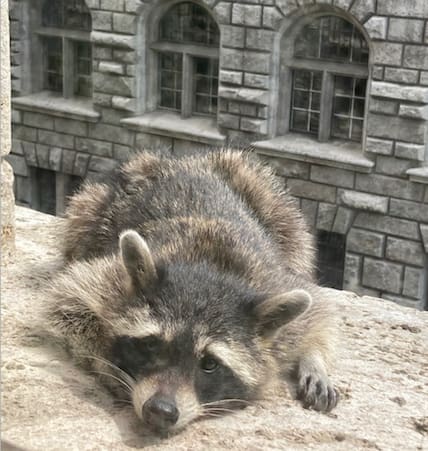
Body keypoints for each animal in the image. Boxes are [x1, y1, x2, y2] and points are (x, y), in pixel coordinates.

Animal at [46, 151, 340, 434]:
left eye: (210, 364)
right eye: (151, 344)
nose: (161, 410)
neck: (210, 268)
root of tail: (180, 159)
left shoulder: (275, 282)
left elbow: (317, 312)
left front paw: (314, 358)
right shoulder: (108, 277)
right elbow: (66, 301)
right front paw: (109, 362)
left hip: (270, 197)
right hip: (91, 205)